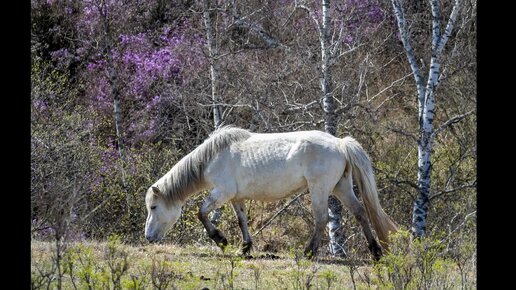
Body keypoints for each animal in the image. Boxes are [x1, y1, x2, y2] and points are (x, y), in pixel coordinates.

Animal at [143, 125, 398, 260]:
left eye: (154, 207)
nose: (148, 237)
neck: (212, 157)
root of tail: (340, 143)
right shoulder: (236, 198)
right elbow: (242, 220)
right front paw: (245, 248)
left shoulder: (222, 193)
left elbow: (201, 213)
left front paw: (221, 240)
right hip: (341, 187)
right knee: (360, 212)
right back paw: (375, 251)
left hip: (320, 189)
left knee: (322, 219)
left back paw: (308, 252)